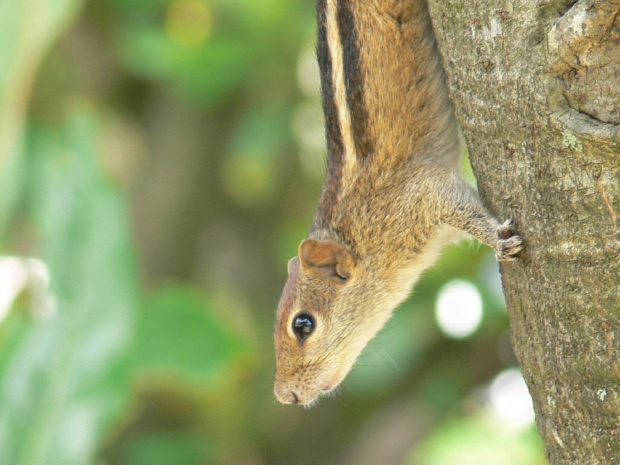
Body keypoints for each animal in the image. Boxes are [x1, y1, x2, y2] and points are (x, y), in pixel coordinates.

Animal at [274, 0, 520, 406]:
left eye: (302, 325)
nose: (284, 395)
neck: (356, 232)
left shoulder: (419, 195)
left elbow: (463, 207)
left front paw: (497, 239)